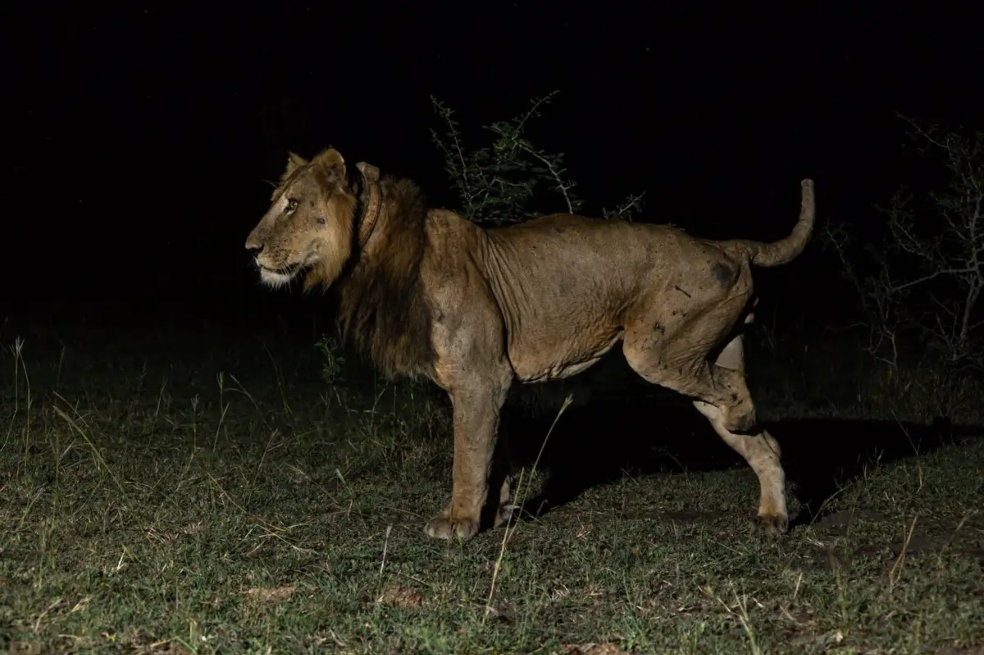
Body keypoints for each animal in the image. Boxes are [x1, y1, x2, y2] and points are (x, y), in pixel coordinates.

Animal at [245, 148, 816, 540]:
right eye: (277, 202)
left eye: (292, 205)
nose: (249, 249)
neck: (374, 251)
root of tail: (726, 244)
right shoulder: (490, 383)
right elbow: (494, 452)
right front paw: (495, 513)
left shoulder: (480, 378)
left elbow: (468, 456)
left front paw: (458, 522)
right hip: (702, 352)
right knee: (763, 440)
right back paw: (774, 515)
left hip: (655, 350)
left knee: (736, 396)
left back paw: (746, 422)